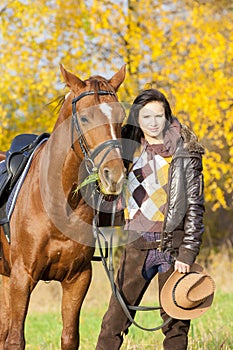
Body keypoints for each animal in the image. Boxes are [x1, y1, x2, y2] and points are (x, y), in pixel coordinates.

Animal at [0, 64, 125, 348]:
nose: (114, 175)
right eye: (85, 118)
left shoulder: (77, 278)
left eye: (121, 117)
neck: (58, 203)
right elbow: (15, 339)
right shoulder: (22, 278)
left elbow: (69, 337)